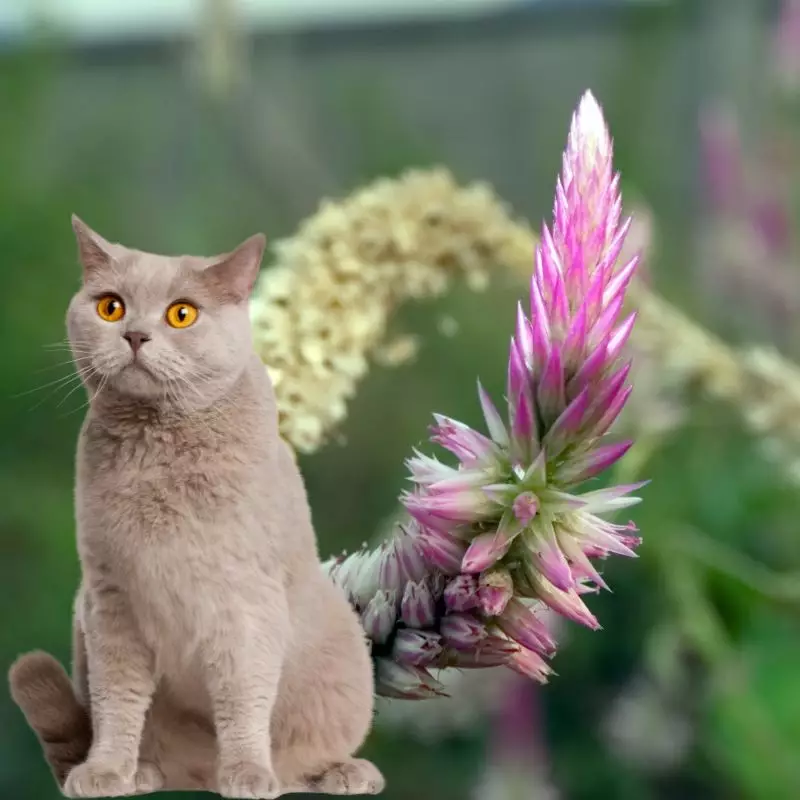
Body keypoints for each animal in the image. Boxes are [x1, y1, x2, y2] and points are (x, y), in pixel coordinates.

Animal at [8, 216, 384, 796]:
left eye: (181, 313)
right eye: (110, 306)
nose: (135, 335)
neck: (157, 451)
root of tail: (199, 776)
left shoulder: (244, 603)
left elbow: (243, 698)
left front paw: (249, 773)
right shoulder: (110, 600)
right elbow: (117, 703)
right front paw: (107, 771)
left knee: (309, 752)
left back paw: (340, 772)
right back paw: (144, 772)